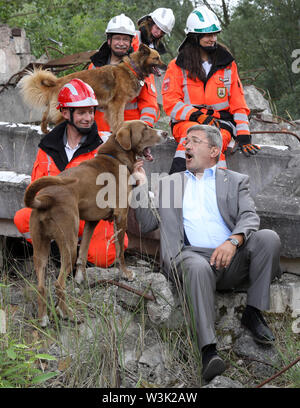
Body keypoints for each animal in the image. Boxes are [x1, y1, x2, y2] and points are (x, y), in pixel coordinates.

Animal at [23, 119, 168, 326]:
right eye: (145, 129)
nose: (165, 134)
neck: (116, 157)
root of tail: (45, 199)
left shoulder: (91, 221)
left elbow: (84, 253)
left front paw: (80, 278)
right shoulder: (121, 215)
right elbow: (120, 251)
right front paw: (126, 274)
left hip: (40, 249)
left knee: (42, 285)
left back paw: (43, 318)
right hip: (68, 243)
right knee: (58, 284)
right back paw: (67, 314)